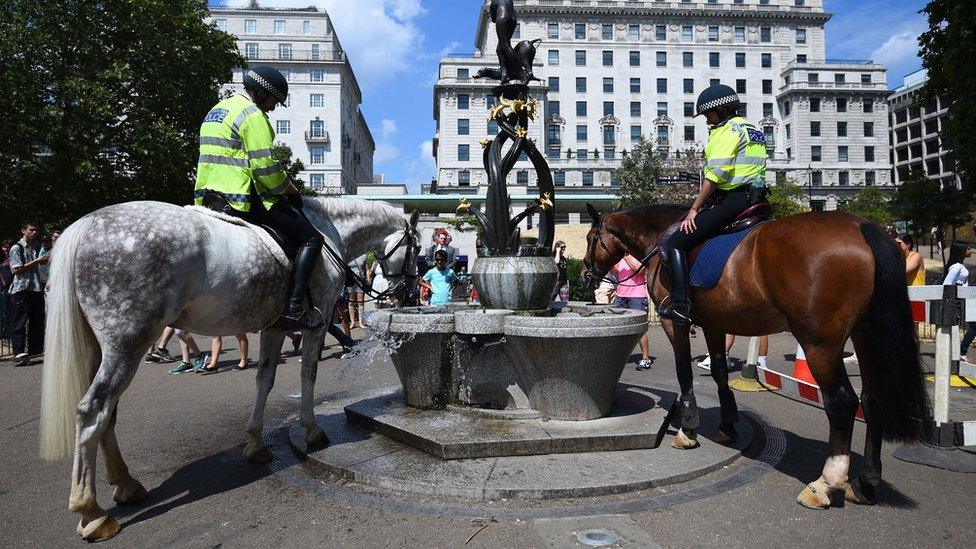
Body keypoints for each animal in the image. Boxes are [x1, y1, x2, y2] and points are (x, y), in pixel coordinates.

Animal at [38, 197, 418, 540]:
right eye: (415, 247)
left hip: (105, 348)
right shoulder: (318, 321)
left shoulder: (275, 327)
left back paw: (126, 484)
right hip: (128, 343)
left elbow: (265, 379)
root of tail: (88, 222)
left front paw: (255, 442)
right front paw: (311, 429)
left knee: (108, 415)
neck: (327, 232)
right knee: (92, 411)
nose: (409, 292)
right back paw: (91, 512)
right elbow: (307, 374)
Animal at [584, 203, 928, 508]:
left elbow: (684, 370)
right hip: (865, 334)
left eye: (590, 238)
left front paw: (688, 428)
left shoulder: (675, 322)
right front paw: (727, 425)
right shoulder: (714, 323)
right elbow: (720, 371)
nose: (587, 275)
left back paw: (825, 484)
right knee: (871, 398)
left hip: (819, 342)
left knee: (843, 402)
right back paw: (866, 482)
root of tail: (861, 226)